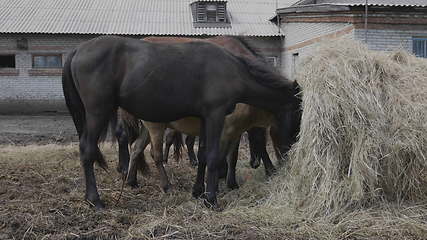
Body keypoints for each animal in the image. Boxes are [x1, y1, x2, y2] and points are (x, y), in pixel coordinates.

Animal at [61, 35, 302, 208]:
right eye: (298, 114)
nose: (290, 151)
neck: (233, 69)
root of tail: (78, 50)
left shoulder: (205, 120)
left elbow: (203, 154)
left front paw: (199, 191)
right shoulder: (216, 116)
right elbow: (214, 156)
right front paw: (211, 199)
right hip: (98, 112)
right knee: (88, 149)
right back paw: (95, 199)